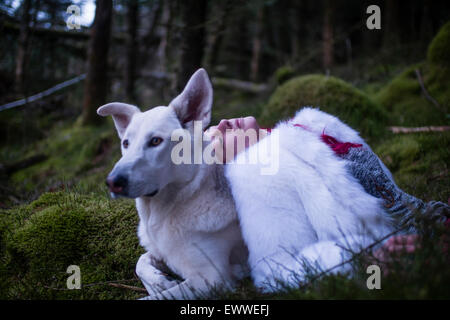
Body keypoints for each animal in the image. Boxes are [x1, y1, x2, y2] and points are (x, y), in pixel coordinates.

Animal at [96, 69, 248, 298]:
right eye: (126, 143)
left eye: (156, 141)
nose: (112, 182)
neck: (159, 213)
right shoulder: (160, 252)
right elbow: (141, 262)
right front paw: (159, 281)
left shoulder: (211, 279)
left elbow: (155, 298)